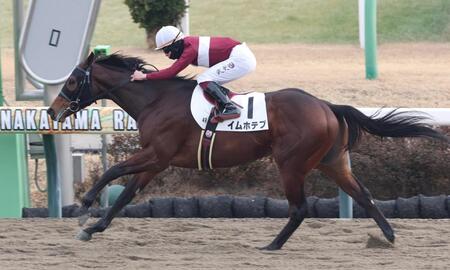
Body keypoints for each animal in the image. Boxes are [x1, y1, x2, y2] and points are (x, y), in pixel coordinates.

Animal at [47, 51, 448, 250]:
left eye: (73, 80)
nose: (52, 111)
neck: (155, 100)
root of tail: (326, 105)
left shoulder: (157, 154)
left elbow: (114, 173)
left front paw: (83, 209)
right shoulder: (156, 162)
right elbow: (124, 195)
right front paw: (93, 227)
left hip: (291, 164)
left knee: (300, 208)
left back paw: (271, 246)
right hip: (332, 162)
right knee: (363, 195)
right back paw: (388, 237)